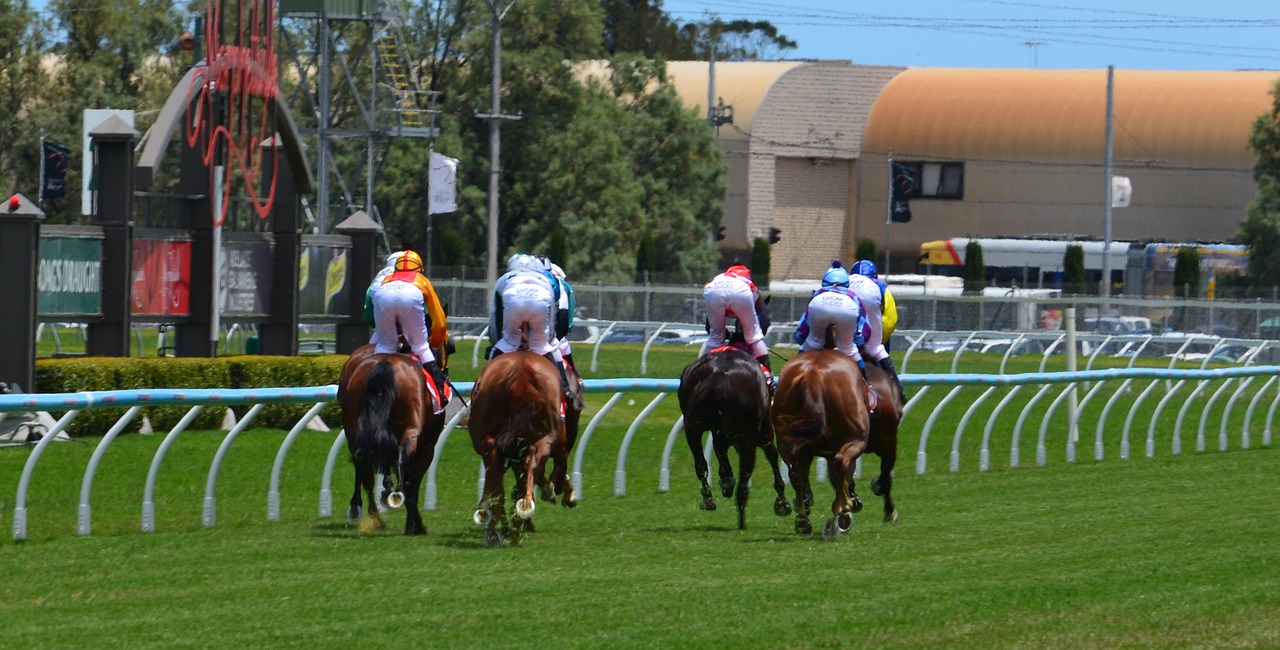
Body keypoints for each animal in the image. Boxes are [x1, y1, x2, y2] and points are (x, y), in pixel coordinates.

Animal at [335, 340, 450, 532]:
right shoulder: (427, 448)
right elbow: (412, 482)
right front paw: (415, 524)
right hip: (412, 429)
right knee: (400, 459)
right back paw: (394, 498)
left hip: (353, 426)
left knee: (364, 466)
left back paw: (370, 512)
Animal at [468, 353, 568, 545]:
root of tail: (519, 373)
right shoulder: (557, 442)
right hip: (548, 437)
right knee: (533, 459)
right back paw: (522, 514)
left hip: (486, 438)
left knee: (497, 476)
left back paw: (496, 530)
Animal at [680, 345, 788, 527]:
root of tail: (720, 376)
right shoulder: (763, 430)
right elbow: (772, 454)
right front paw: (781, 502)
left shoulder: (718, 432)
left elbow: (720, 454)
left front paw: (726, 480)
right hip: (747, 437)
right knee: (745, 473)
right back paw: (742, 515)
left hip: (693, 428)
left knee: (700, 464)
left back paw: (709, 498)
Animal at [768, 350, 870, 537]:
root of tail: (812, 376)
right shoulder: (845, 445)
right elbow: (841, 475)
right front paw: (842, 512)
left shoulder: (808, 450)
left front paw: (806, 503)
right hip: (855, 440)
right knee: (841, 462)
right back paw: (844, 510)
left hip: (786, 441)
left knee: (795, 473)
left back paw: (802, 520)